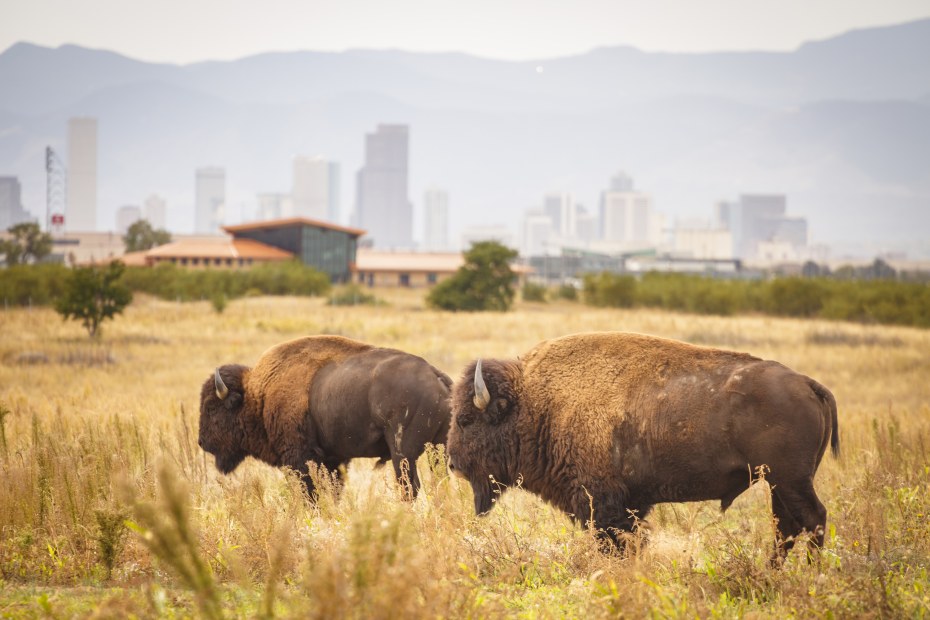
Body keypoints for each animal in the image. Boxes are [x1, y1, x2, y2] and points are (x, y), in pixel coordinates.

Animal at [199, 334, 454, 498]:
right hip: (437, 449)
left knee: (409, 486)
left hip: (402, 453)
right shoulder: (334, 459)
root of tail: (435, 375)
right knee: (439, 481)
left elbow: (310, 493)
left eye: (211, 408)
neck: (258, 396)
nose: (202, 442)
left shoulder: (301, 458)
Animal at [446, 332, 836, 564]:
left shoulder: (602, 503)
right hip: (777, 483)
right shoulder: (631, 502)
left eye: (465, 419)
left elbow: (614, 542)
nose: (451, 462)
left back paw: (808, 574)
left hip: (790, 481)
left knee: (813, 519)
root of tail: (808, 384)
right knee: (786, 527)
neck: (535, 403)